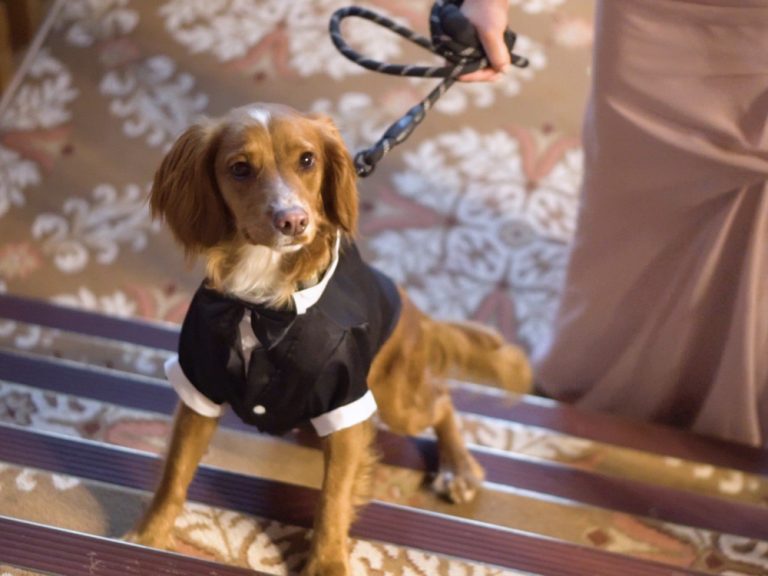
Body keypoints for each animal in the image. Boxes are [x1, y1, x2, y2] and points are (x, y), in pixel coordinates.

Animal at [129, 103, 532, 576]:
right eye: (240, 168)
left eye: (307, 160)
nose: (293, 221)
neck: (264, 303)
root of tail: (414, 309)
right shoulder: (199, 385)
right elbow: (174, 474)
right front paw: (148, 537)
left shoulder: (347, 405)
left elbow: (334, 499)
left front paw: (326, 564)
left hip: (395, 398)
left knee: (441, 399)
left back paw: (458, 469)